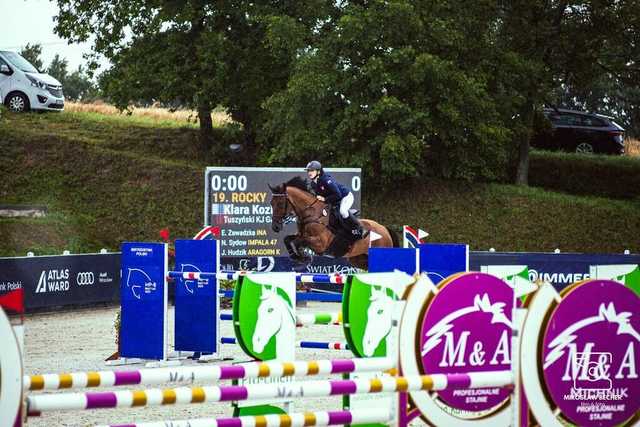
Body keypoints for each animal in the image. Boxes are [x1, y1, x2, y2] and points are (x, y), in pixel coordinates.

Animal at [268, 177, 398, 270]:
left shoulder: (321, 243)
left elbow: (298, 242)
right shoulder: (301, 235)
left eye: (280, 204)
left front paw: (304, 257)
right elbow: (288, 239)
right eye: (271, 203)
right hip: (358, 259)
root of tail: (384, 229)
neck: (311, 214)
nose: (275, 227)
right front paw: (297, 256)